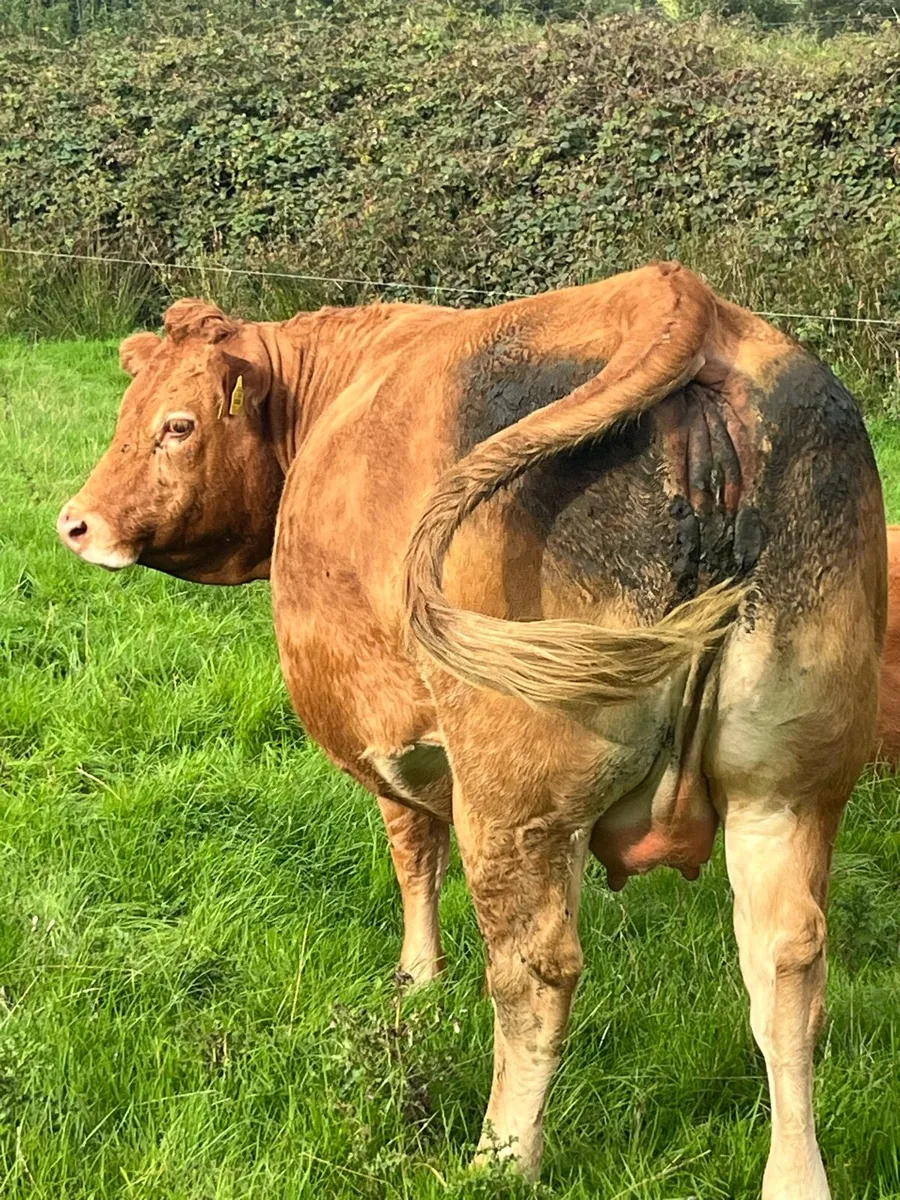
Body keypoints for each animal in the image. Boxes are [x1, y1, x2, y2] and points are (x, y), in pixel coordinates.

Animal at [57, 263, 885, 1199]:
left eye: (178, 424)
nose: (75, 522)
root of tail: (676, 297)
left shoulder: (389, 728)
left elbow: (413, 850)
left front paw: (417, 982)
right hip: (786, 792)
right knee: (788, 969)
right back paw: (795, 1175)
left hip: (518, 797)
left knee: (536, 969)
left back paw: (500, 1153)